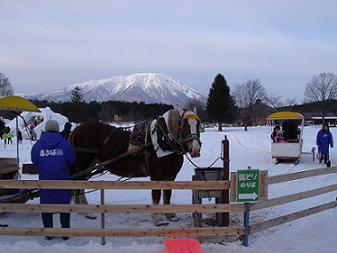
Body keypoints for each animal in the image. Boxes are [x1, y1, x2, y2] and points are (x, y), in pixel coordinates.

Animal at [68, 108, 200, 225]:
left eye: (198, 124)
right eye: (184, 125)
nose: (195, 150)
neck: (164, 141)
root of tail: (76, 130)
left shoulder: (170, 176)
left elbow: (167, 195)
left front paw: (170, 215)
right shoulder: (156, 175)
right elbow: (156, 195)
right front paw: (158, 219)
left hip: (88, 166)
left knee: (80, 186)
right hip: (82, 165)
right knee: (78, 185)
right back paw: (85, 212)